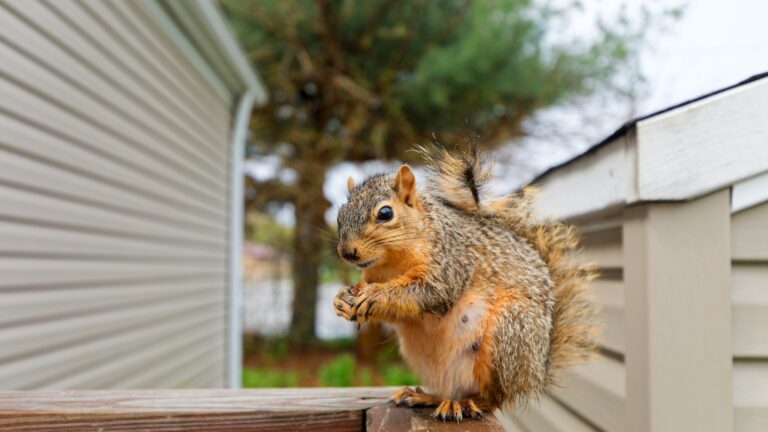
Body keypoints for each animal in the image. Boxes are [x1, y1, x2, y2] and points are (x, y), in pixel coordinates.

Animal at [333, 143, 599, 421]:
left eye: (385, 213)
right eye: (340, 215)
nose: (348, 252)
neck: (390, 265)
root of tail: (536, 372)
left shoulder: (450, 262)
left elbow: (429, 293)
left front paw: (374, 295)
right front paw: (341, 299)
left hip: (508, 334)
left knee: (494, 397)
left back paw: (468, 404)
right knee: (452, 390)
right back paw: (427, 397)